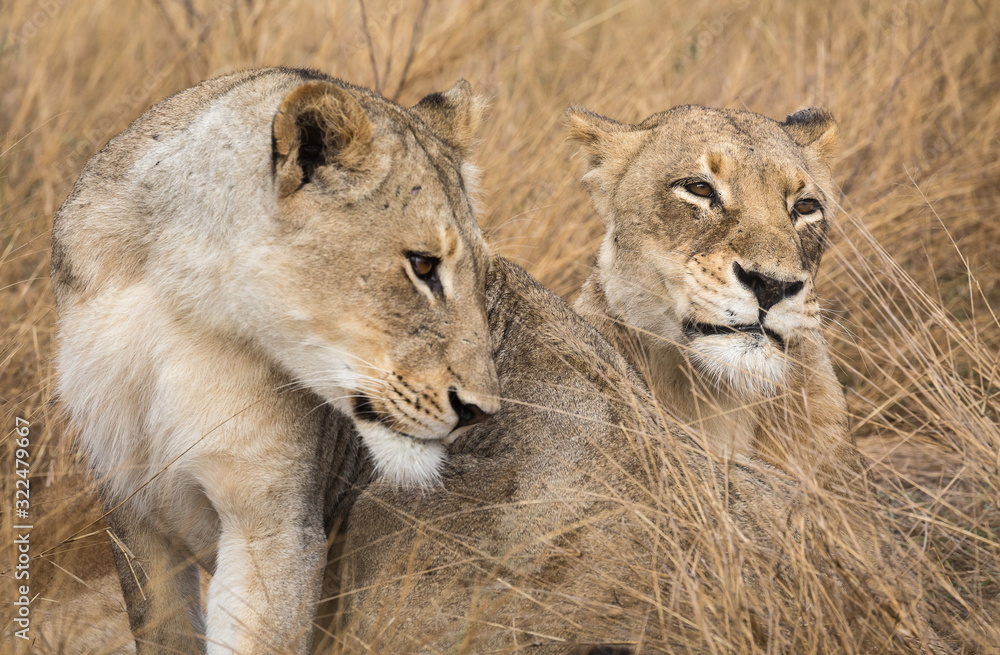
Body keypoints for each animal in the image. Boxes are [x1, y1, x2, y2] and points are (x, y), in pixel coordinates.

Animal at [51, 67, 499, 655]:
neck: (180, 295)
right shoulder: (129, 503)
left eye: (485, 278)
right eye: (423, 265)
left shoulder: (274, 523)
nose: (480, 411)